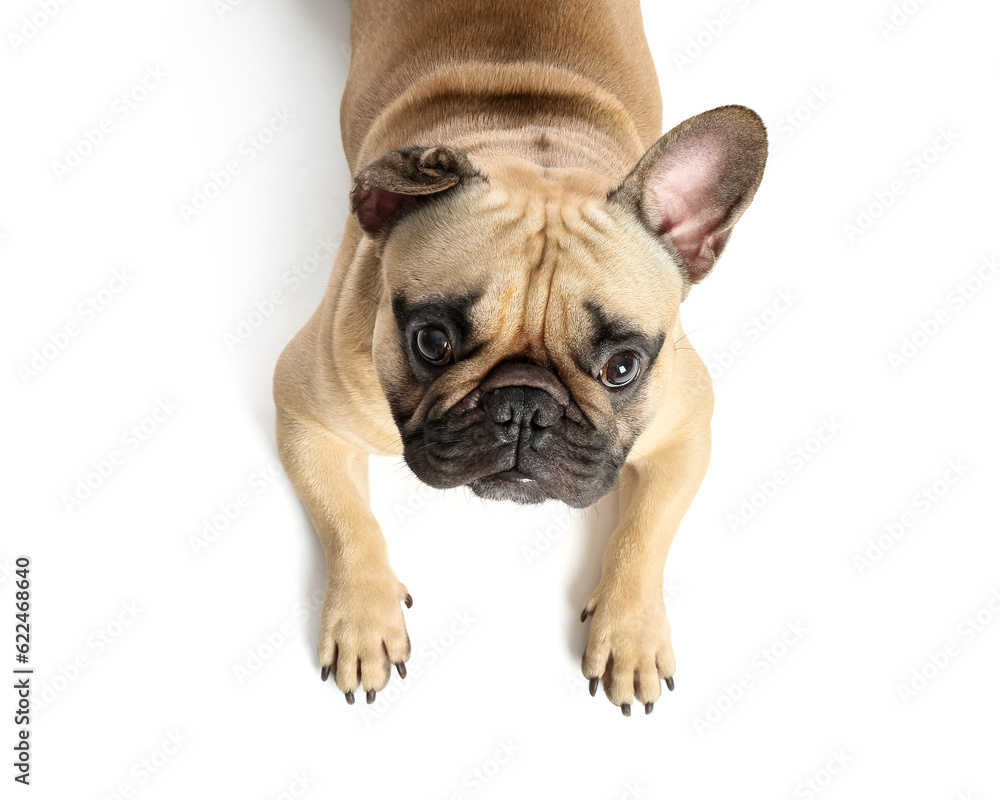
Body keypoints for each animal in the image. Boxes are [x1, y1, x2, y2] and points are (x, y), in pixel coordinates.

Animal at [274, 0, 764, 712]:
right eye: (432, 342)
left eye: (622, 367)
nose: (524, 408)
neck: (535, 147)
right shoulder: (305, 412)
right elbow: (348, 521)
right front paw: (363, 621)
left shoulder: (684, 430)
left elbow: (645, 533)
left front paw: (632, 633)